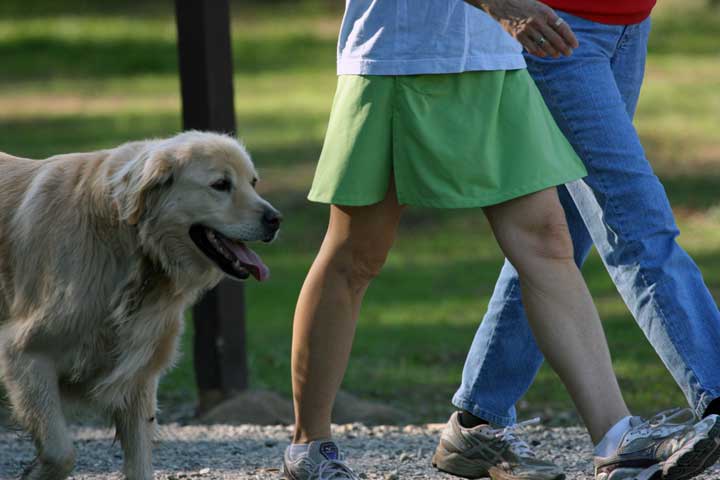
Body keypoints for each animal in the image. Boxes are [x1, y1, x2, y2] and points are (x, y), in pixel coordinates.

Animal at [0, 129, 282, 478]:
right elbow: (61, 452)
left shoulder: (138, 375)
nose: (276, 219)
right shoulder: (25, 355)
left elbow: (139, 460)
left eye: (252, 182)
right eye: (221, 184)